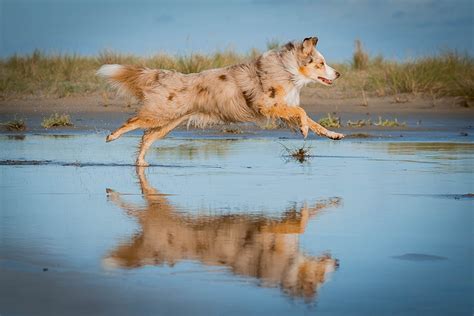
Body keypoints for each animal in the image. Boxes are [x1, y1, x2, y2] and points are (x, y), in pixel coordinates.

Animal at [98, 36, 344, 165]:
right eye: (321, 63)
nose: (339, 74)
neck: (288, 69)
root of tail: (169, 75)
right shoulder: (268, 106)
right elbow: (303, 113)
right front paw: (304, 130)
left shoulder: (284, 107)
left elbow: (313, 121)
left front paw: (333, 134)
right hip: (160, 113)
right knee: (132, 122)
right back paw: (112, 136)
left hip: (168, 122)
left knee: (147, 137)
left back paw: (141, 163)